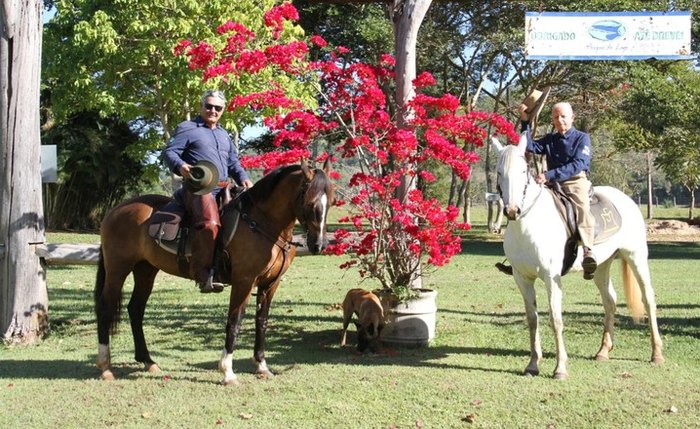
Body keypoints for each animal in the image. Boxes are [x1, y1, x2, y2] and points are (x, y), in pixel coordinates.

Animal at [95, 158, 334, 384]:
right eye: (311, 203)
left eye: (330, 202)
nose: (319, 245)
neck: (262, 223)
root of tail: (115, 210)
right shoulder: (244, 281)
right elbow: (234, 322)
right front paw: (227, 372)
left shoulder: (270, 284)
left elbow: (262, 322)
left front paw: (262, 366)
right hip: (118, 269)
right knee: (106, 309)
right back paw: (105, 367)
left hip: (145, 270)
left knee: (136, 309)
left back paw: (148, 361)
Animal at [492, 134, 660, 378]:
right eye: (498, 172)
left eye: (523, 171)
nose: (512, 210)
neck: (529, 224)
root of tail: (625, 199)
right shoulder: (522, 278)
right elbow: (532, 320)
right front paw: (532, 364)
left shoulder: (551, 278)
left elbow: (556, 319)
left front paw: (560, 368)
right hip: (601, 266)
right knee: (610, 300)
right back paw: (603, 351)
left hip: (636, 256)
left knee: (648, 298)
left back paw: (657, 354)